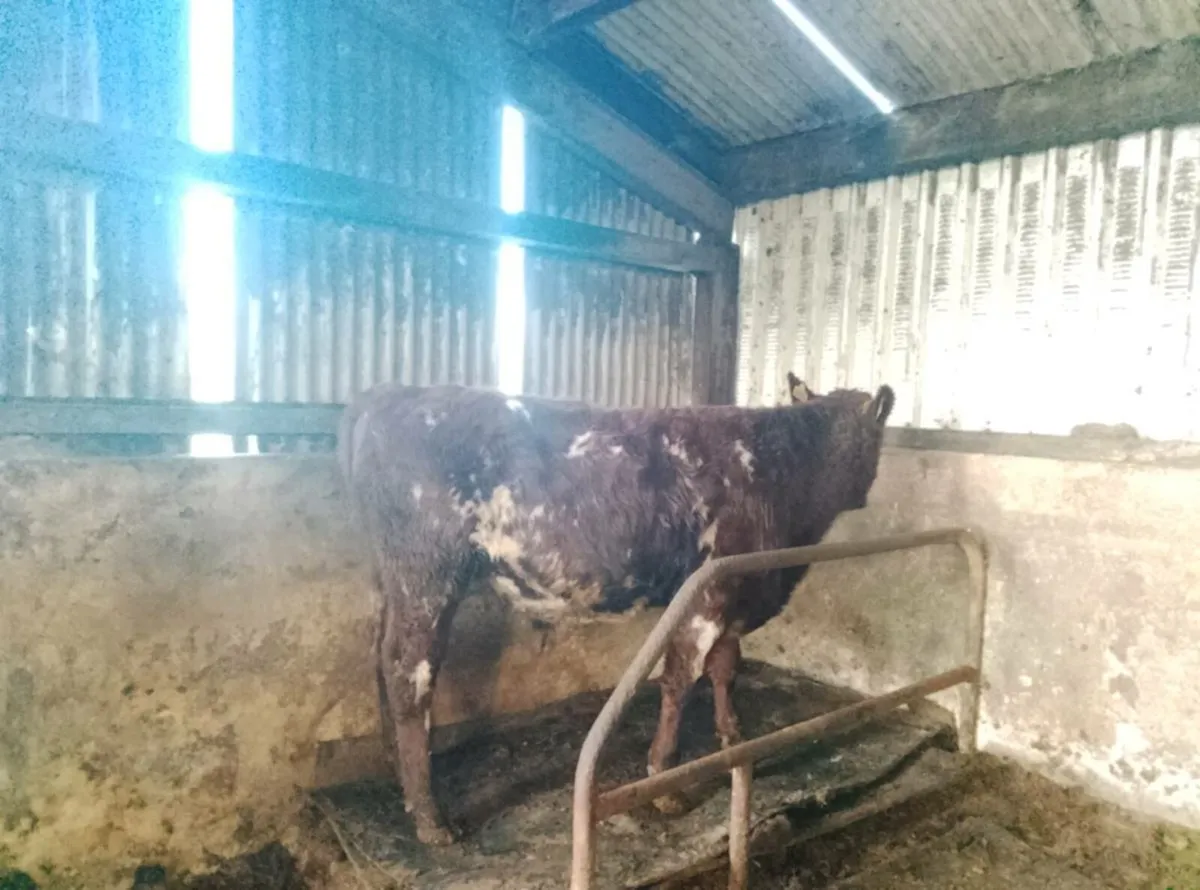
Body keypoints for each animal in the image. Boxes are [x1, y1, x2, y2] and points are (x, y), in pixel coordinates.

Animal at [338, 376, 895, 845]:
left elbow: (724, 668)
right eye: (874, 437)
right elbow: (679, 679)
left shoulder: (739, 591)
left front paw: (733, 736)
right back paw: (431, 819)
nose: (866, 494)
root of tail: (389, 394)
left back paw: (400, 775)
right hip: (426, 574)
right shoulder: (708, 593)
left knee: (382, 663)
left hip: (394, 582)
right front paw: (666, 783)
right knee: (409, 674)